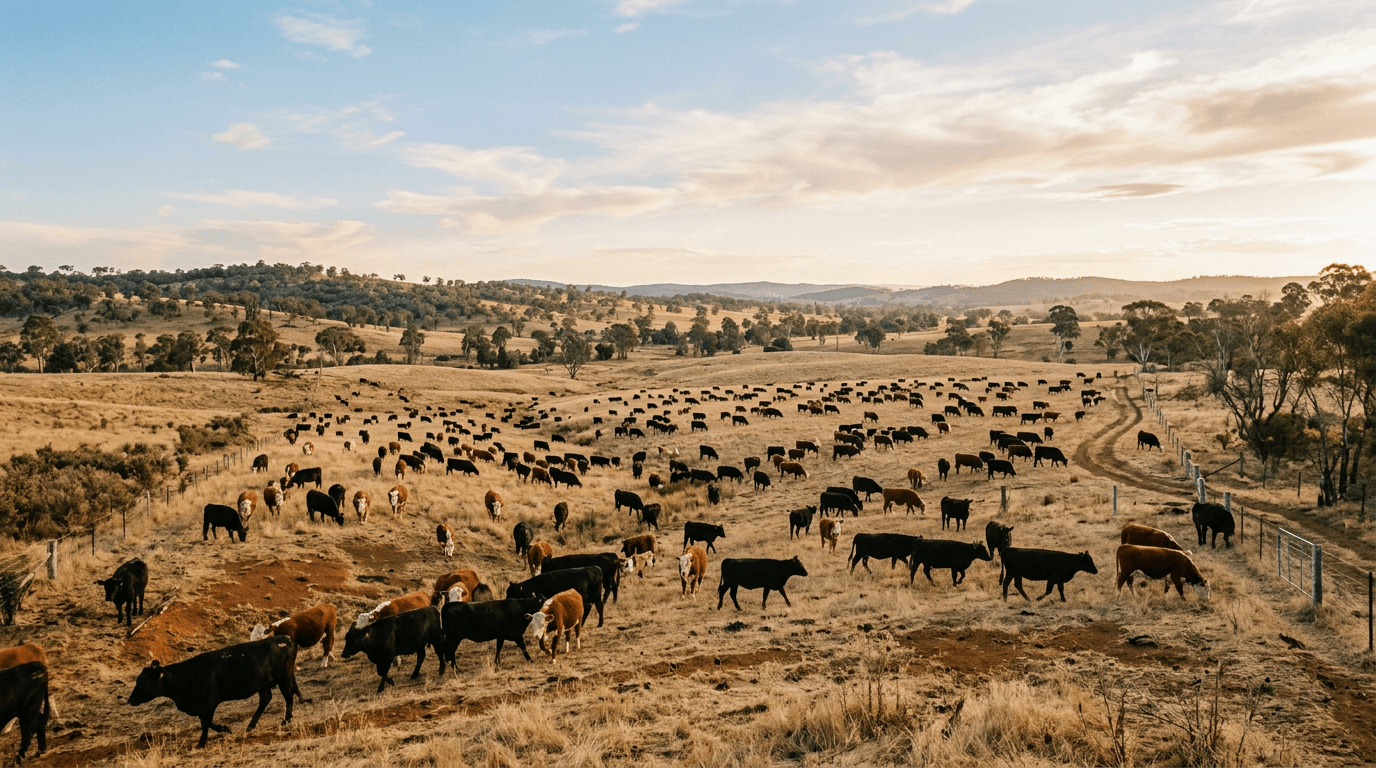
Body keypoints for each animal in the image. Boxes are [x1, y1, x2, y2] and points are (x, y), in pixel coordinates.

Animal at [127, 635, 298, 748]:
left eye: (143, 682)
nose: (130, 700)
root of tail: (285, 638)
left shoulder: (209, 703)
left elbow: (205, 723)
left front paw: (202, 743)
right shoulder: (201, 706)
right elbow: (206, 721)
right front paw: (224, 729)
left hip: (283, 677)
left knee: (288, 696)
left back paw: (286, 719)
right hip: (265, 684)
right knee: (266, 699)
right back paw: (251, 726)